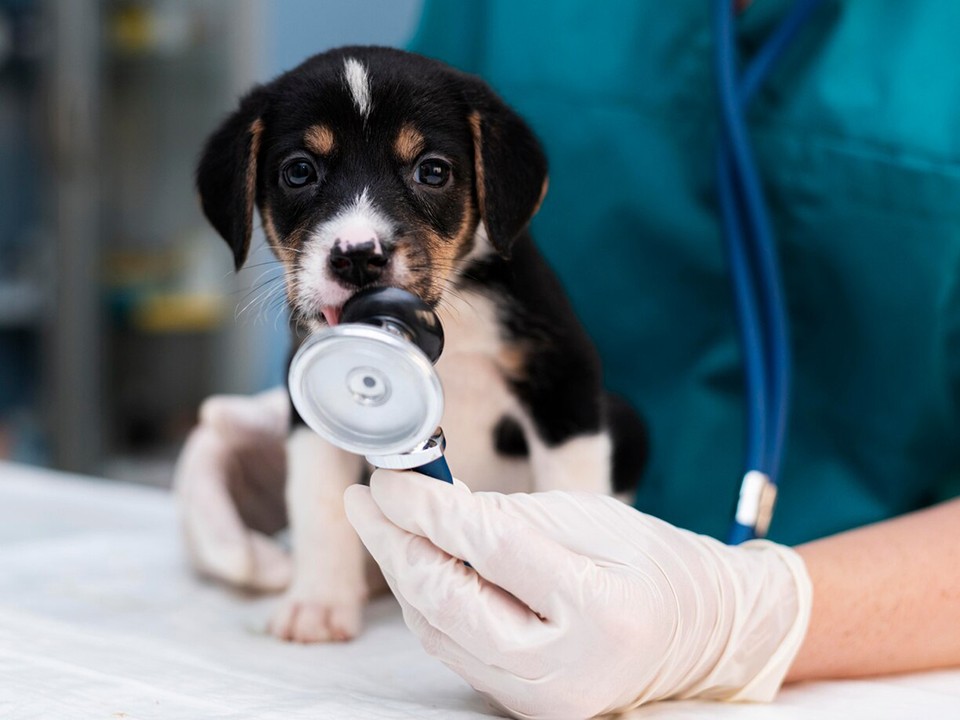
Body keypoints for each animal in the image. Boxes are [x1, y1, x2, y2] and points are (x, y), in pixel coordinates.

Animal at [194, 45, 644, 640]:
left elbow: (572, 492)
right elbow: (318, 505)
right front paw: (318, 602)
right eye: (299, 171)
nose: (358, 256)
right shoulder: (307, 404)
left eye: (432, 170)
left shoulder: (562, 379)